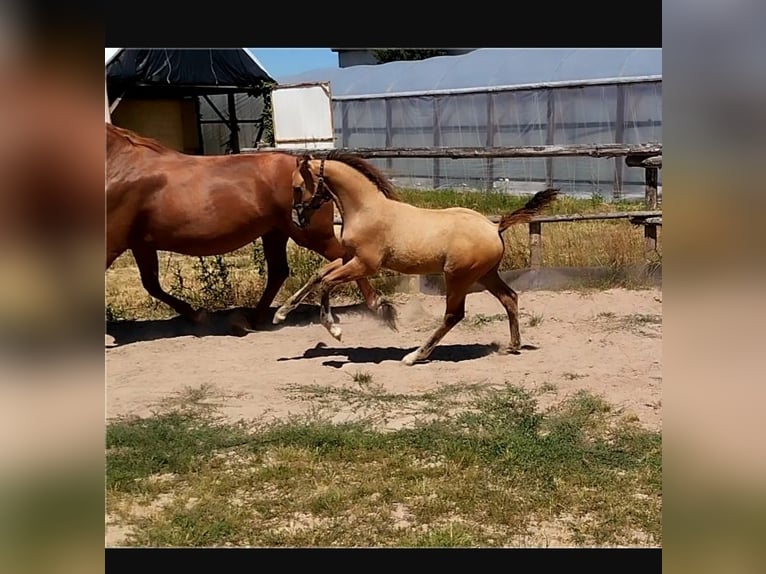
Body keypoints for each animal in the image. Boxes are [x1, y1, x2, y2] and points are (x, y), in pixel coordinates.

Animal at [106, 123, 391, 331]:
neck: (120, 167)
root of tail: (311, 165)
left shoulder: (115, 243)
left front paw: (199, 316)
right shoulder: (140, 244)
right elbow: (151, 284)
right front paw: (197, 315)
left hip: (309, 234)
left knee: (344, 258)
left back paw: (378, 306)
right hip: (276, 233)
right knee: (279, 271)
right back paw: (253, 320)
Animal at [272, 151, 559, 365]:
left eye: (297, 187)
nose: (298, 220)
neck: (366, 210)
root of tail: (495, 226)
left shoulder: (366, 265)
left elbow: (327, 283)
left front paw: (336, 331)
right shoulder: (350, 258)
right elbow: (319, 274)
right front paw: (281, 314)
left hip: (458, 277)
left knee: (454, 315)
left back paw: (414, 356)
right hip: (486, 275)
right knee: (509, 298)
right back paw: (512, 345)